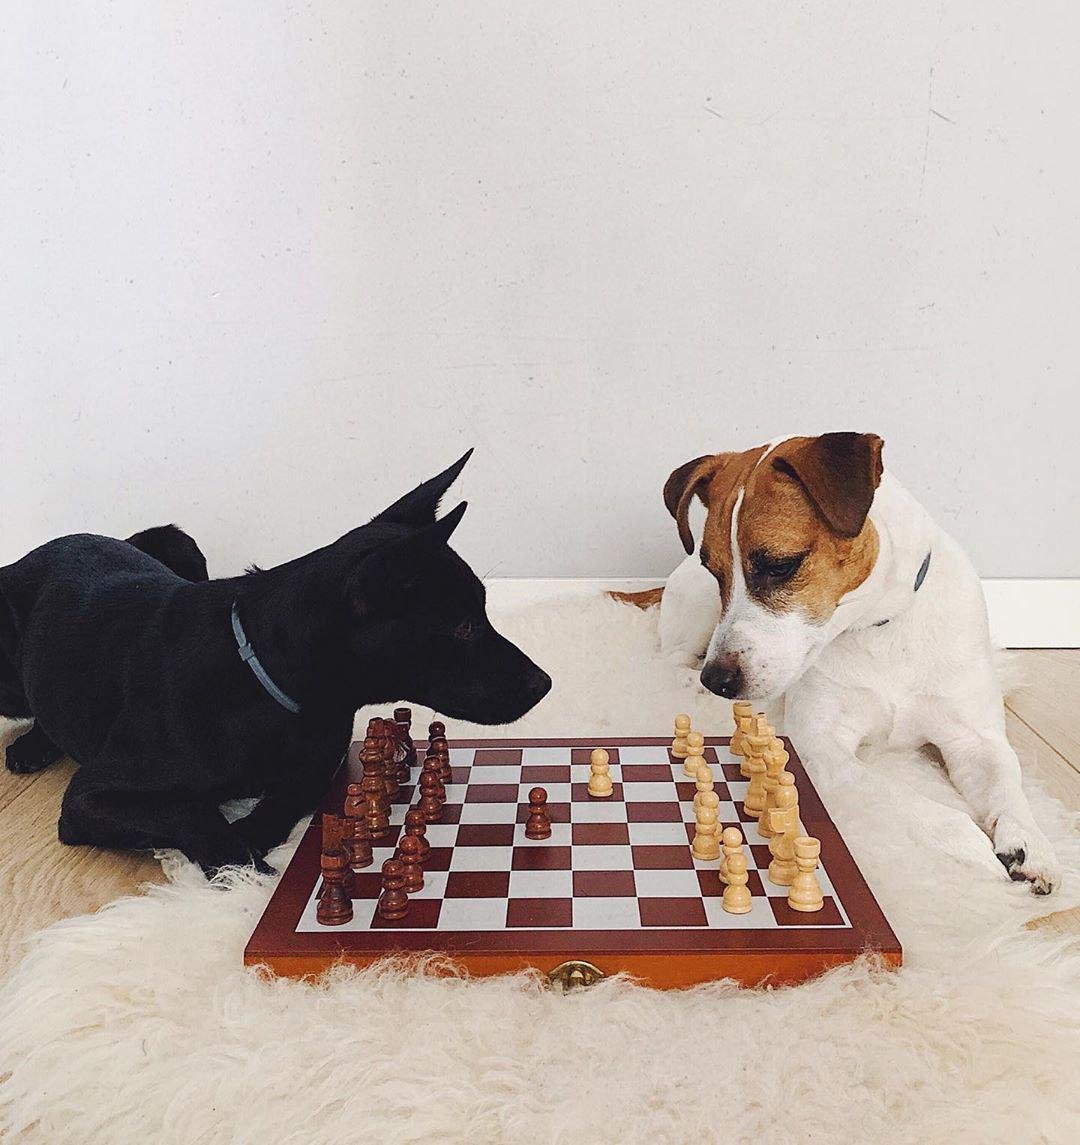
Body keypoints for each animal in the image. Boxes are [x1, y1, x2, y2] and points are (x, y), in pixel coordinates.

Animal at [0, 453, 554, 865]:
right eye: (462, 626)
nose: (544, 683)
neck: (264, 685)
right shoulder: (89, 797)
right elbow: (189, 813)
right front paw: (241, 863)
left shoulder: (321, 767)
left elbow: (284, 799)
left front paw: (256, 839)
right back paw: (32, 744)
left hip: (181, 546)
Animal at [623, 430, 1053, 893]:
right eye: (714, 570)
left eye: (780, 566)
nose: (718, 681)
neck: (878, 628)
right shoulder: (822, 749)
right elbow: (917, 806)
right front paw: (975, 847)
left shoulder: (975, 741)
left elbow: (1007, 785)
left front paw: (1030, 844)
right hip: (697, 618)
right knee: (669, 659)